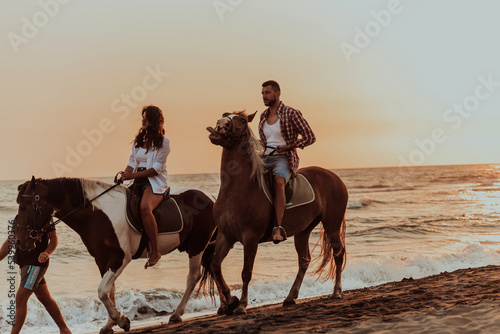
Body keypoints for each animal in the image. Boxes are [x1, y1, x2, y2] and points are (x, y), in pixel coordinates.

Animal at [15, 176, 215, 332]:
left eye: (24, 207)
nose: (21, 242)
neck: (97, 216)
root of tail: (210, 197)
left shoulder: (120, 259)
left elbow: (102, 291)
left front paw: (121, 320)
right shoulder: (102, 259)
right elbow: (110, 291)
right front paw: (110, 323)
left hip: (198, 245)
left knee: (192, 277)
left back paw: (176, 314)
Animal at [207, 111, 348, 314]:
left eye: (241, 120)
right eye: (225, 114)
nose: (219, 124)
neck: (237, 189)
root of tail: (336, 178)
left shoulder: (250, 238)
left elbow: (246, 272)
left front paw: (241, 305)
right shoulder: (226, 236)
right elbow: (216, 266)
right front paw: (230, 300)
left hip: (332, 225)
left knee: (338, 254)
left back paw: (336, 291)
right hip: (303, 231)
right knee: (304, 260)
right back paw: (290, 297)